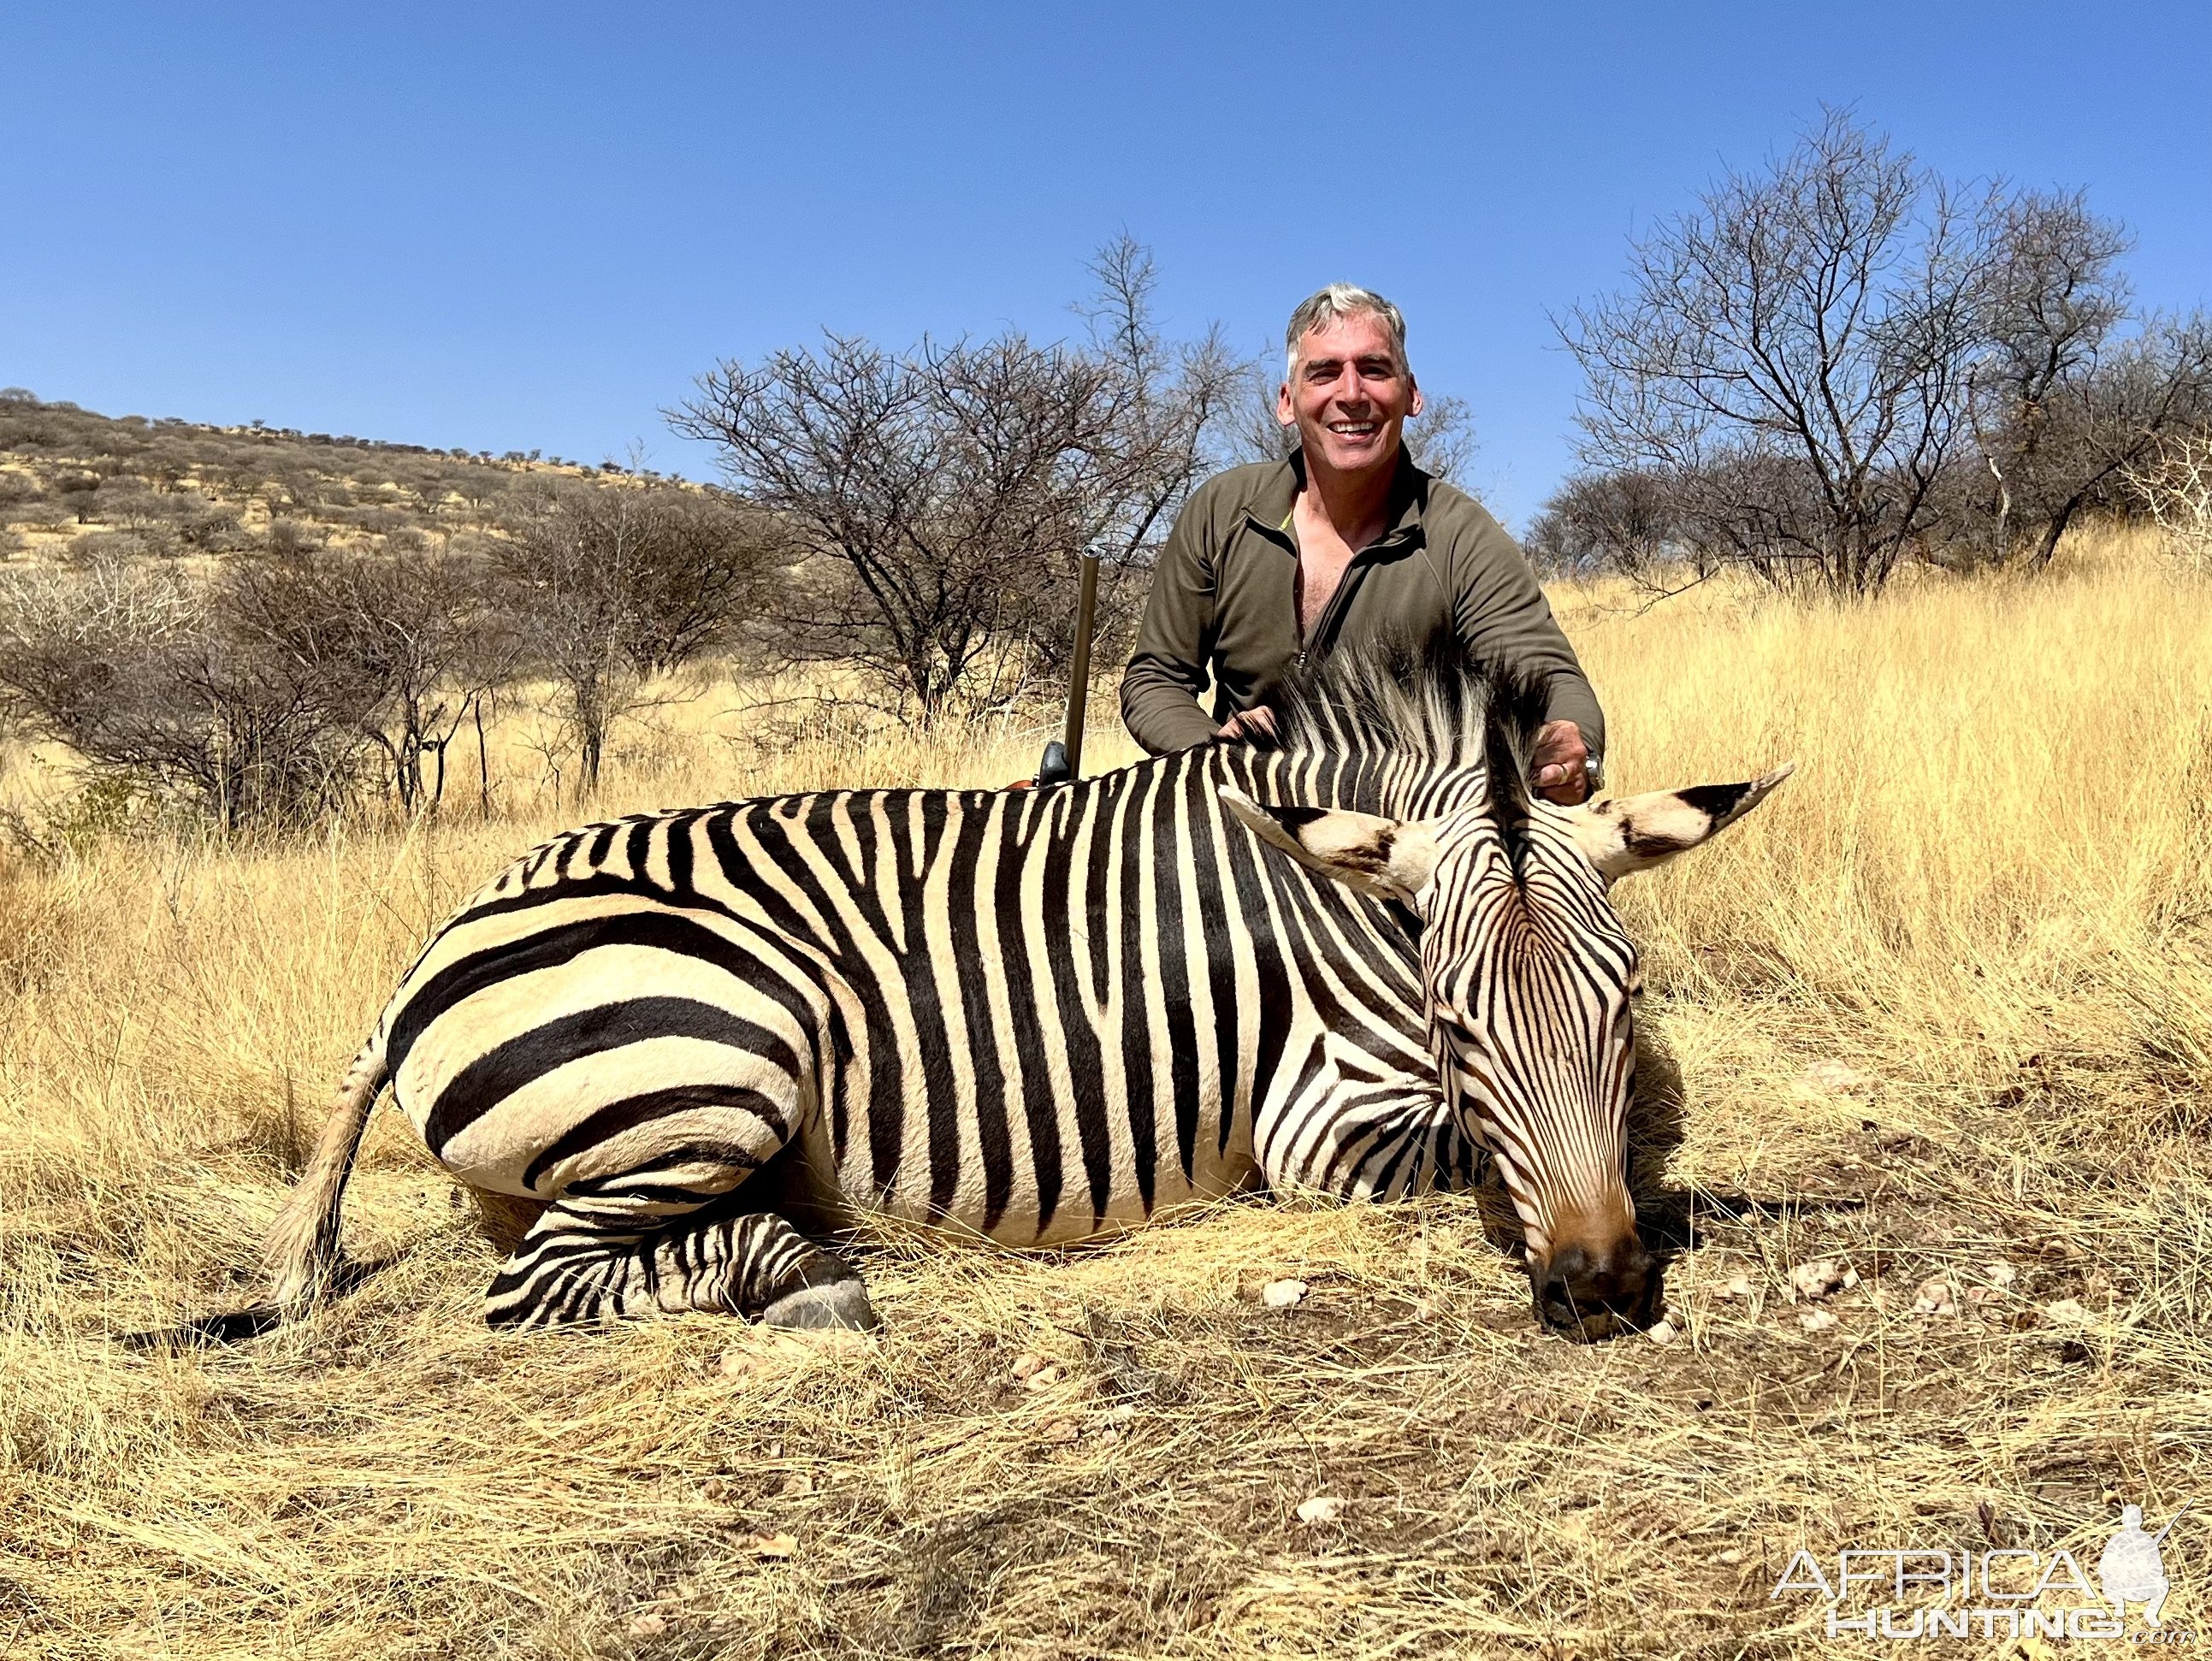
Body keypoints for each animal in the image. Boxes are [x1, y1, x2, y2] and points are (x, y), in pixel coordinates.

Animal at [263, 641, 1778, 1345]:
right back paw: (806, 1277)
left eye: (1624, 996)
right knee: (535, 1285)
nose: (1601, 1285)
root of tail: (418, 964)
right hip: (729, 1054)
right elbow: (1471, 1149)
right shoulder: (1317, 1128)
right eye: (1457, 1018)